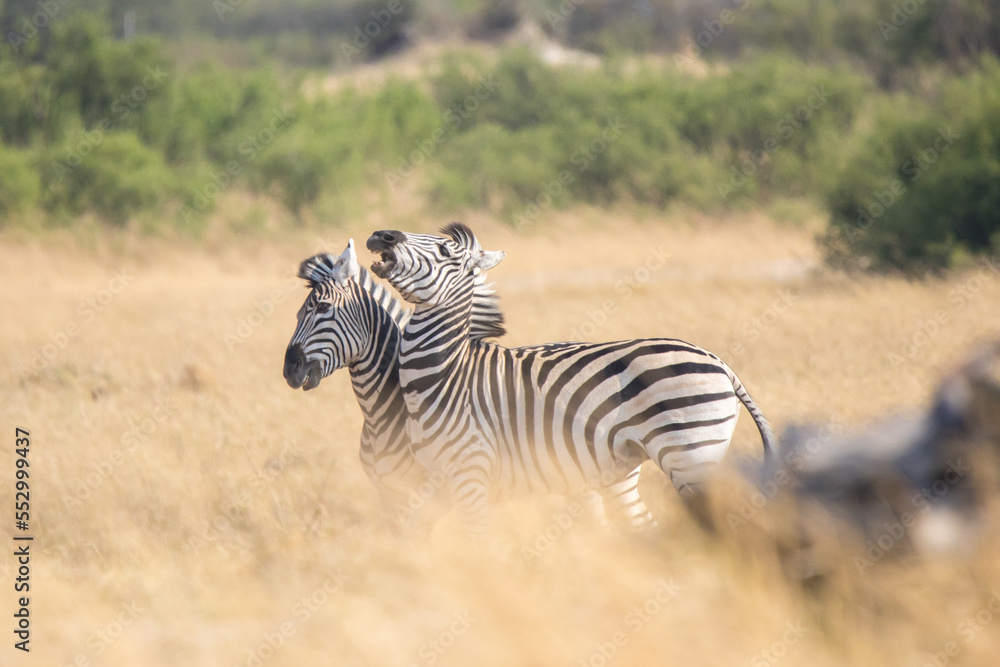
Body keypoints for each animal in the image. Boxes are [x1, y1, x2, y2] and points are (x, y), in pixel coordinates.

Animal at [282, 240, 648, 533]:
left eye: (323, 308)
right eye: (298, 313)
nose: (289, 369)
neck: (381, 415)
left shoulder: (428, 494)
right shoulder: (389, 496)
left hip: (615, 480)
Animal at [366, 223, 776, 535]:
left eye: (444, 250)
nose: (381, 235)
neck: (445, 377)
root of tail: (719, 362)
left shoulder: (471, 470)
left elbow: (475, 541)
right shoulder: (434, 481)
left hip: (692, 454)